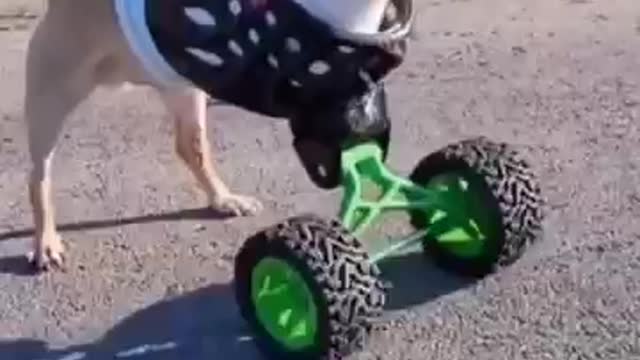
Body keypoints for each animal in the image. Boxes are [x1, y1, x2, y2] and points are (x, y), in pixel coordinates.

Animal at [21, 0, 416, 270]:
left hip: (181, 88)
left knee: (190, 146)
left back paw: (224, 199)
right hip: (52, 91)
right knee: (39, 172)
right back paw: (46, 240)